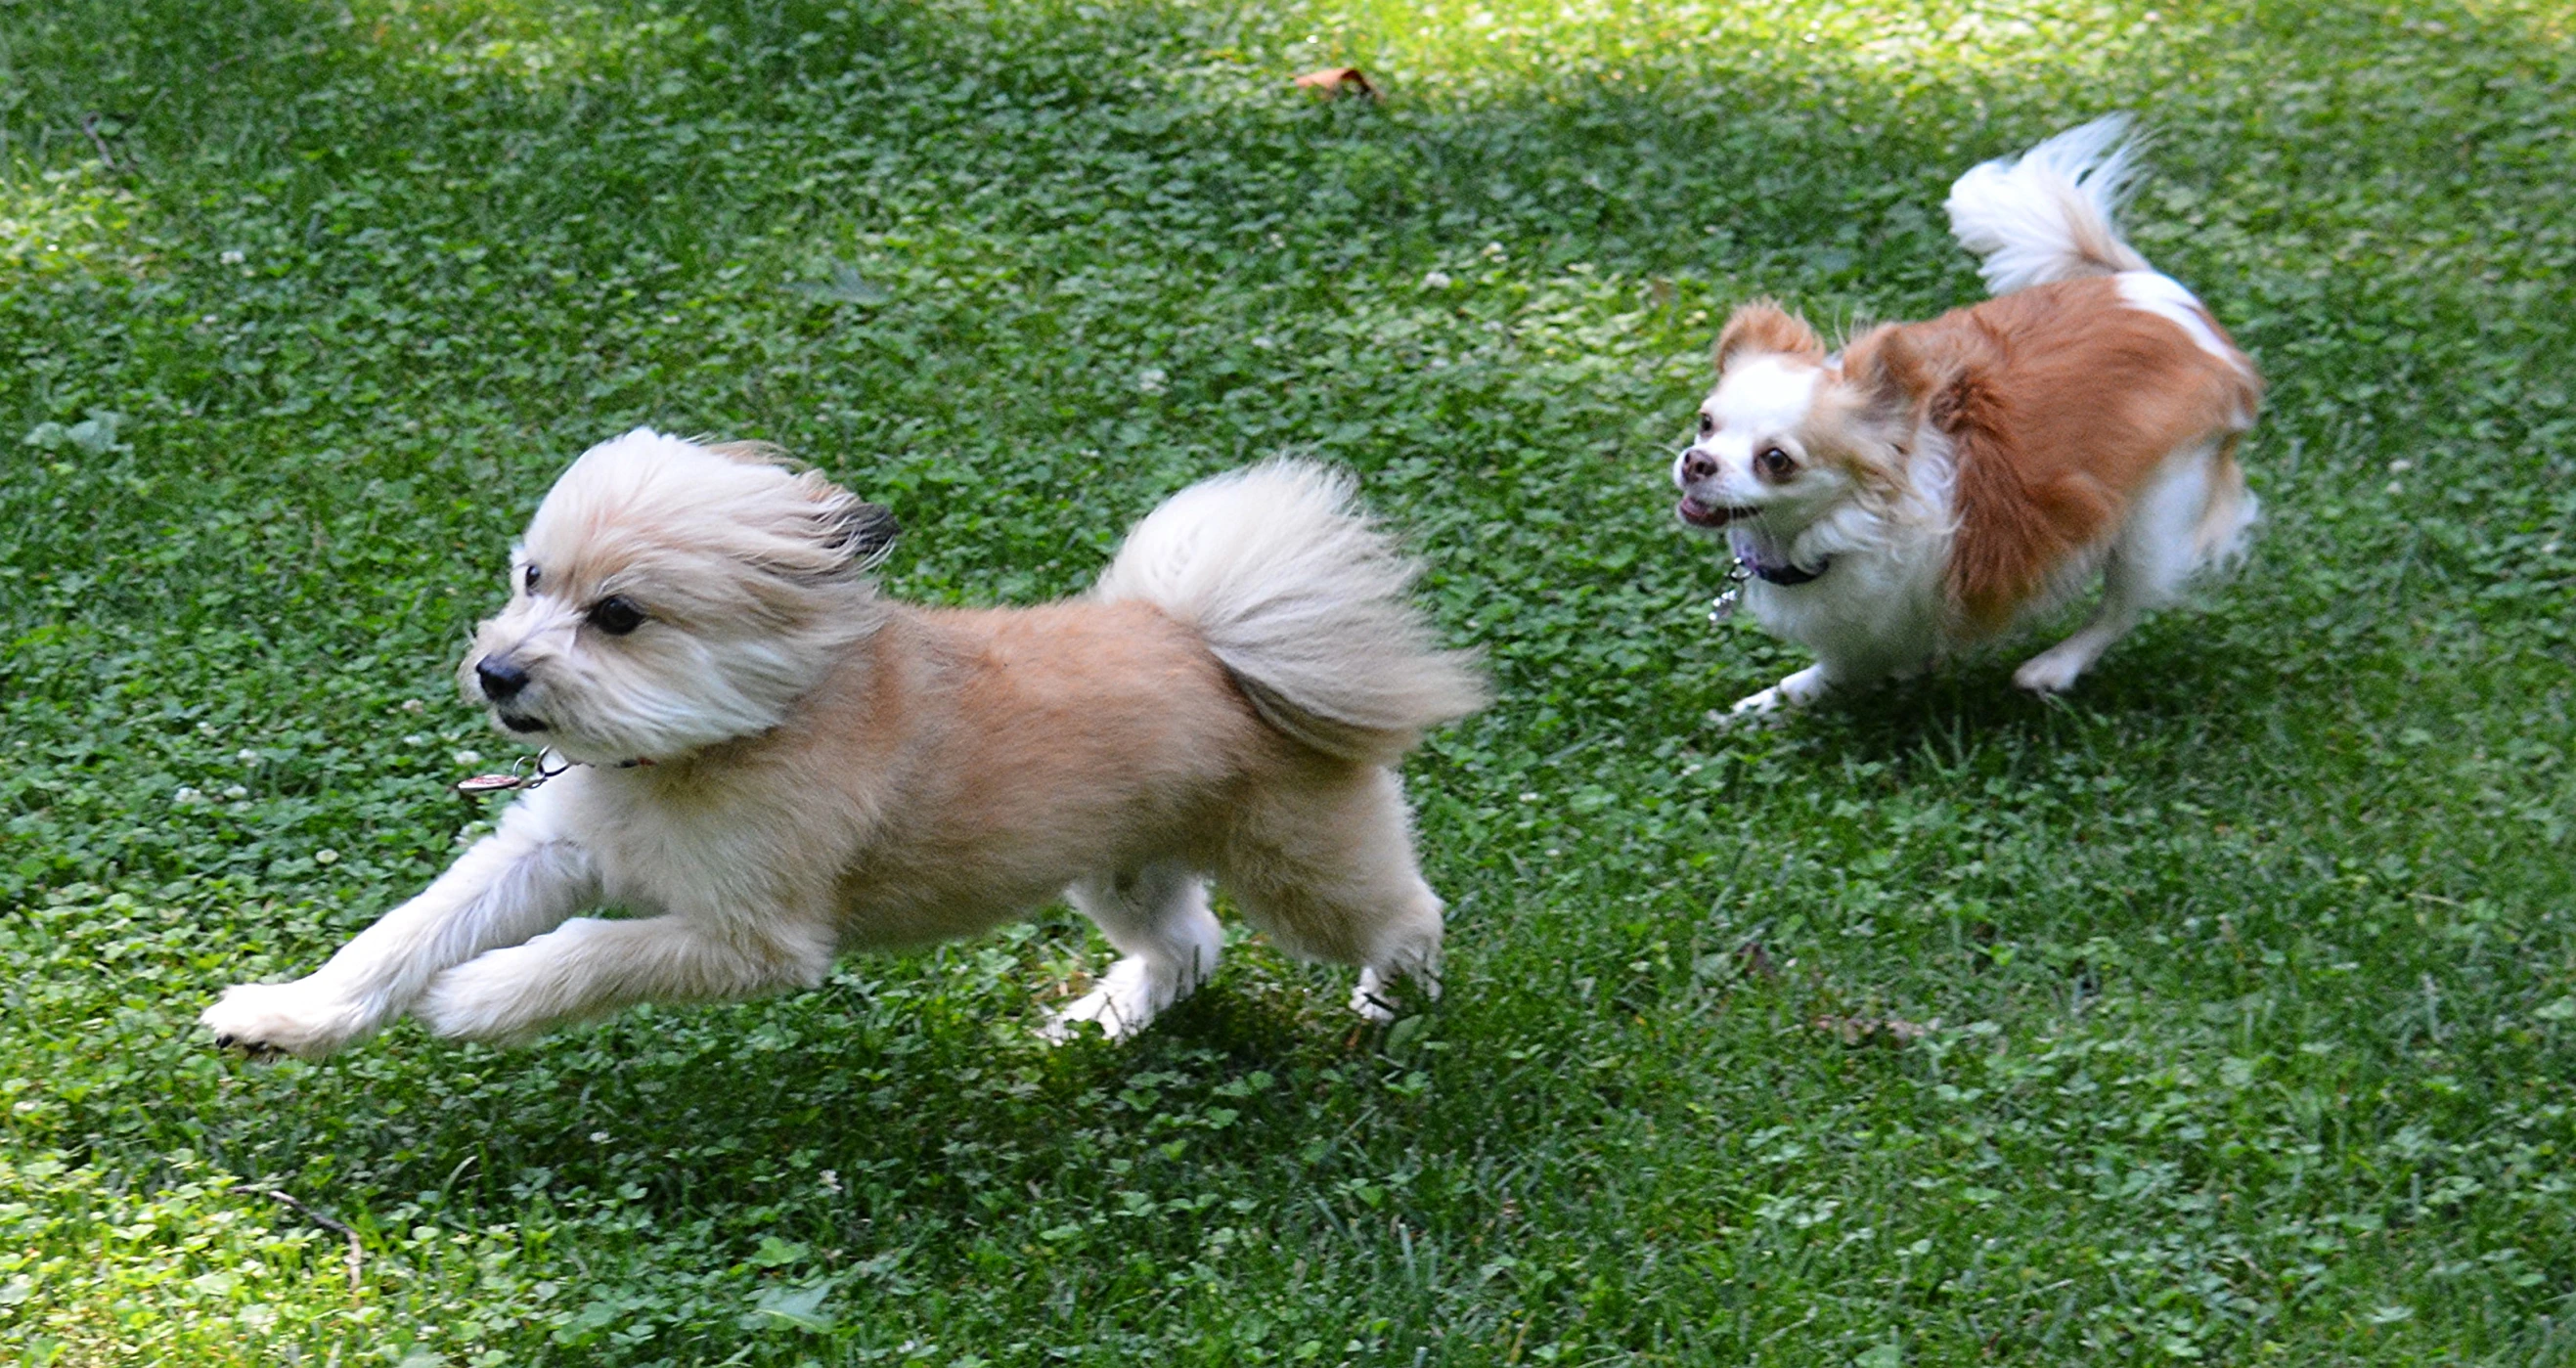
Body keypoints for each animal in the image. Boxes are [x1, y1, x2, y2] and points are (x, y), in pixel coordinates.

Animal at [200, 429, 1493, 1061]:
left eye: (617, 616)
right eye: (530, 579)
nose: (499, 671)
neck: (708, 743)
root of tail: (1216, 646)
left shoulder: (753, 942)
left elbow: (588, 953)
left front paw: (481, 997)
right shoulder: (546, 851)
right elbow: (401, 934)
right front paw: (292, 1016)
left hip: (1300, 868)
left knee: (1407, 912)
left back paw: (1392, 1004)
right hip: (1117, 865)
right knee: (1189, 945)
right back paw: (1103, 1024)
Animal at [1668, 116, 2256, 716]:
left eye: (1776, 460)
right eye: (1706, 423)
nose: (1696, 462)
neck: (1829, 532)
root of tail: (2169, 299)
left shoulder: (1875, 631)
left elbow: (1834, 671)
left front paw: (1767, 704)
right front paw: (1753, 711)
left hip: (2157, 511)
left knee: (2124, 605)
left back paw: (2053, 666)